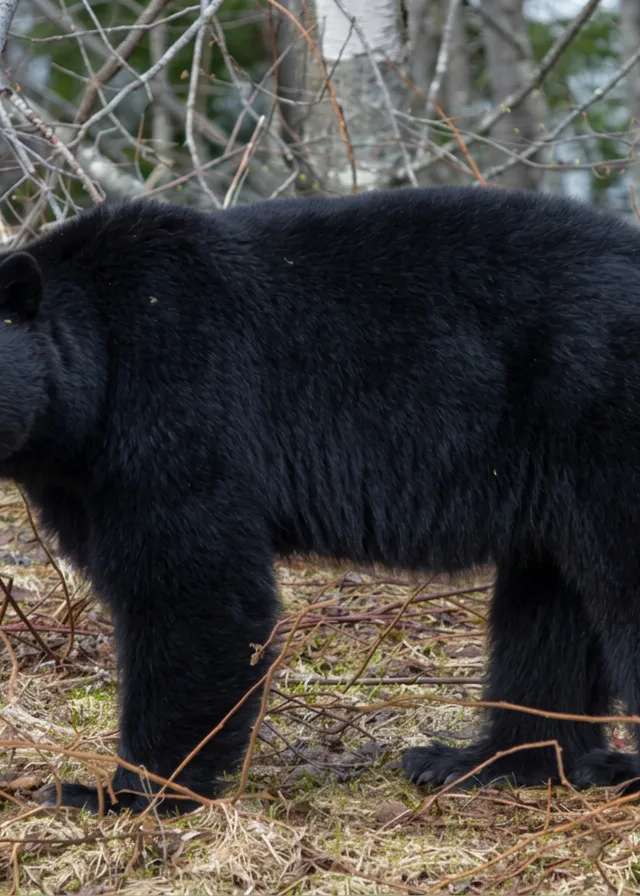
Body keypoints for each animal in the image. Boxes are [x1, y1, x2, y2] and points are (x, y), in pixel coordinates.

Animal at [1, 185, 640, 814]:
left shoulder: (176, 401)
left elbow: (193, 588)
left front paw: (125, 792)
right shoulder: (84, 476)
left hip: (599, 412)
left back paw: (602, 767)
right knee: (548, 607)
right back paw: (483, 761)